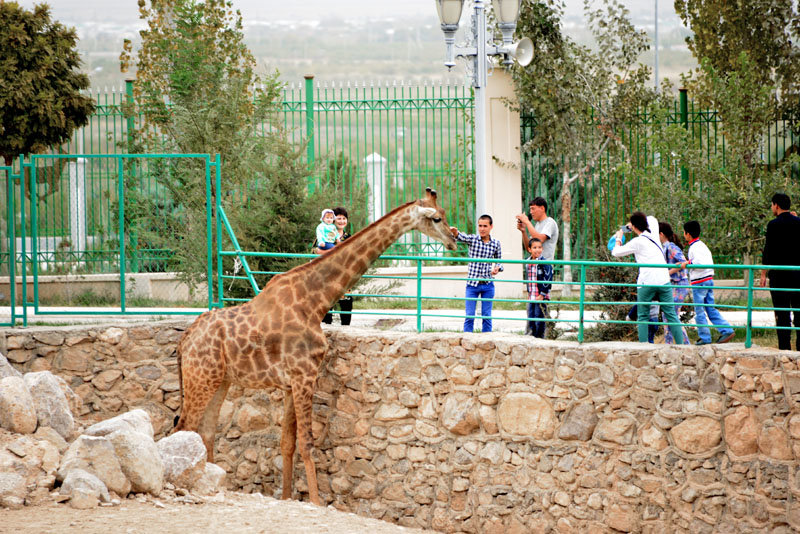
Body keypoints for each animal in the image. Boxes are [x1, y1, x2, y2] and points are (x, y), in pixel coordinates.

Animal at [176, 188, 460, 506]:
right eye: (436, 218)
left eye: (444, 214)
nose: (454, 240)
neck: (314, 301)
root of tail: (184, 340)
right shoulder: (304, 375)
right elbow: (308, 442)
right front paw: (316, 501)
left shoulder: (290, 383)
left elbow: (287, 443)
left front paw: (287, 496)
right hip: (201, 378)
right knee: (184, 426)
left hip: (220, 380)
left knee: (206, 431)